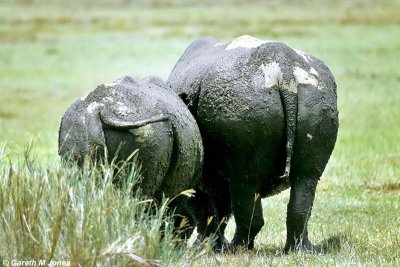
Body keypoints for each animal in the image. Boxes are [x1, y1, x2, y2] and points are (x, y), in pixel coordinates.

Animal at [167, 34, 340, 252]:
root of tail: (285, 72)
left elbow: (204, 211)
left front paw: (203, 248)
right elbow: (218, 211)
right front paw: (211, 246)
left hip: (243, 100)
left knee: (245, 181)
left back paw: (237, 249)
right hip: (317, 96)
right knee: (307, 178)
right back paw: (301, 250)